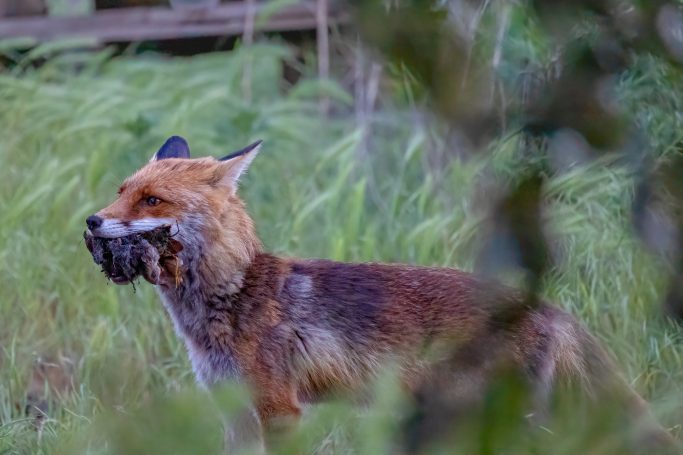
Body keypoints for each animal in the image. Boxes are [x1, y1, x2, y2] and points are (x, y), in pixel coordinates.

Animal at [87, 135, 680, 452]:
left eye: (153, 200)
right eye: (121, 191)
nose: (92, 221)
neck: (232, 295)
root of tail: (545, 304)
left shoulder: (280, 408)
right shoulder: (233, 411)